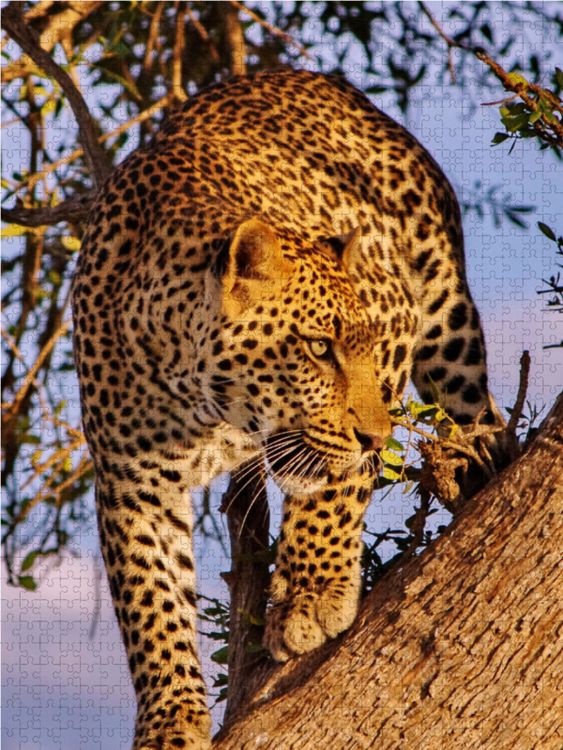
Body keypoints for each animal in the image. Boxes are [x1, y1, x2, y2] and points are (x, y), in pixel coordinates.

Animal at [72, 69, 503, 749]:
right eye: (319, 349)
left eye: (364, 345)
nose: (378, 437)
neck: (206, 404)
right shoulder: (130, 479)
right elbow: (151, 600)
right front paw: (170, 720)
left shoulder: (396, 319)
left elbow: (336, 487)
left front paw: (312, 595)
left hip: (446, 321)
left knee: (480, 414)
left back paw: (478, 463)